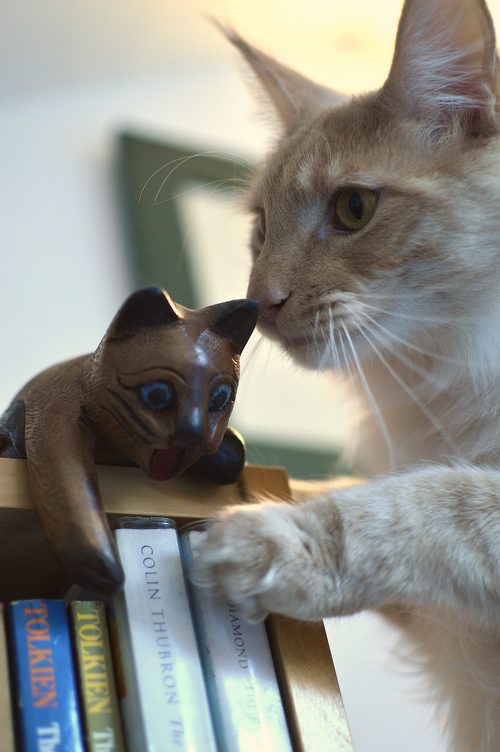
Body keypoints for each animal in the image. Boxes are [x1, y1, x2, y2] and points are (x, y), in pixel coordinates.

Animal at [192, 0, 500, 748]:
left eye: (353, 209)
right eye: (262, 231)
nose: (260, 305)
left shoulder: (474, 514)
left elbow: (423, 503)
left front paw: (264, 539)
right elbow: (347, 491)